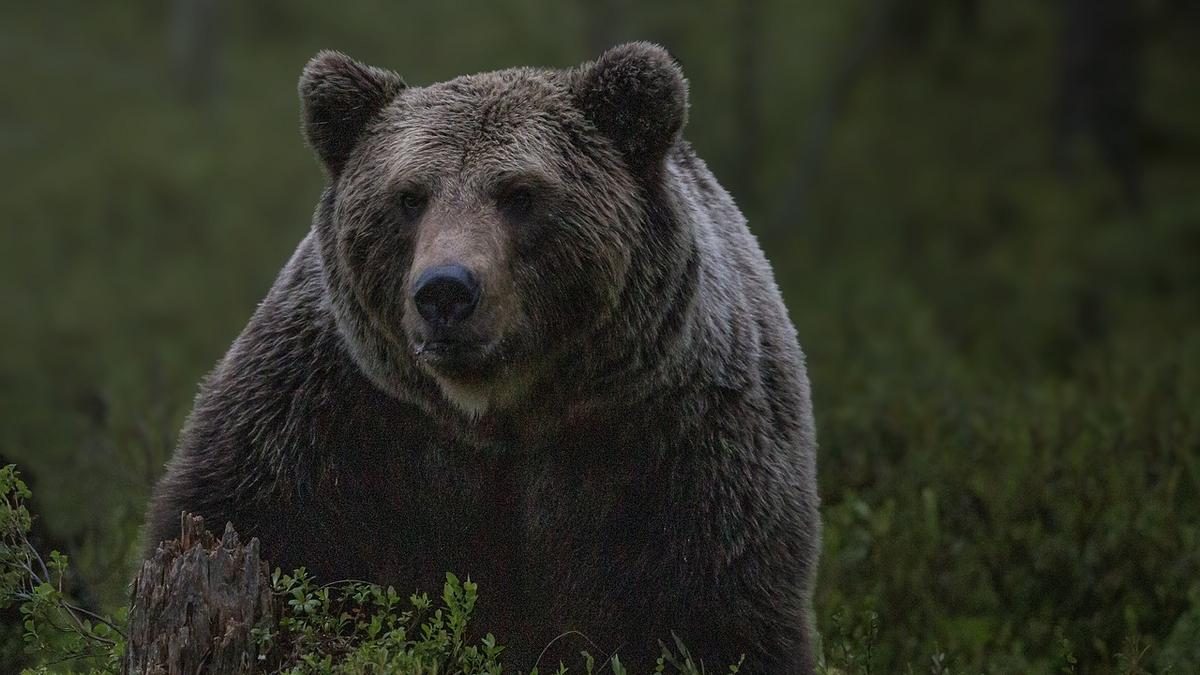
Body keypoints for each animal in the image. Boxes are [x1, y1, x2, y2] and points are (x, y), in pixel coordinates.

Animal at [140, 43, 816, 672]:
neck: (499, 411)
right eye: (409, 196)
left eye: (519, 194)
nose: (445, 291)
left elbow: (714, 613)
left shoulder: (679, 440)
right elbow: (248, 522)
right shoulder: (326, 415)